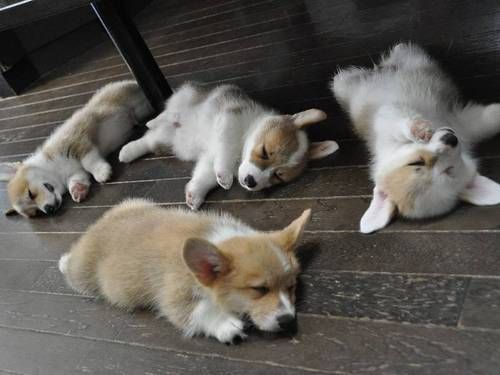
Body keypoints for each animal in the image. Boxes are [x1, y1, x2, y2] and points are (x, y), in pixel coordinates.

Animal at [0, 81, 152, 217]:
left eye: (31, 194)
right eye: (36, 212)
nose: (49, 210)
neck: (56, 170)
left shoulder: (78, 142)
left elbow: (89, 162)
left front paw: (101, 172)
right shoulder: (76, 173)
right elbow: (76, 180)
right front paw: (78, 190)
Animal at [118, 83, 338, 212]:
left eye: (278, 176)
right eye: (265, 152)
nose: (250, 182)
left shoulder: (209, 158)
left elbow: (204, 176)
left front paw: (195, 195)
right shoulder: (229, 122)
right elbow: (226, 149)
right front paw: (224, 176)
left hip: (168, 141)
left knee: (148, 141)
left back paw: (127, 153)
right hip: (186, 99)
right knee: (168, 113)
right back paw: (154, 121)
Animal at [332, 43, 500, 232]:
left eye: (415, 162)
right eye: (449, 171)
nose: (450, 139)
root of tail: (380, 68)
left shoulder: (462, 124)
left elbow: (488, 121)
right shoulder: (388, 118)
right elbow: (402, 121)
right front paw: (418, 128)